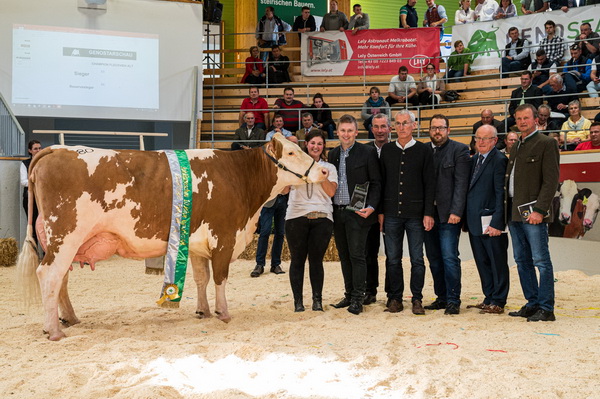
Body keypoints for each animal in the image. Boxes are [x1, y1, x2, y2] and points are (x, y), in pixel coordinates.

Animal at [17, 134, 328, 340]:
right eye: (291, 153)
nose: (324, 169)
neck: (239, 176)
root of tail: (55, 149)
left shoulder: (198, 243)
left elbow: (202, 278)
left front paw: (203, 311)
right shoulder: (224, 237)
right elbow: (220, 277)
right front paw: (223, 313)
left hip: (60, 240)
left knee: (61, 278)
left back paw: (69, 318)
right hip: (66, 235)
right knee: (49, 275)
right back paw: (54, 330)